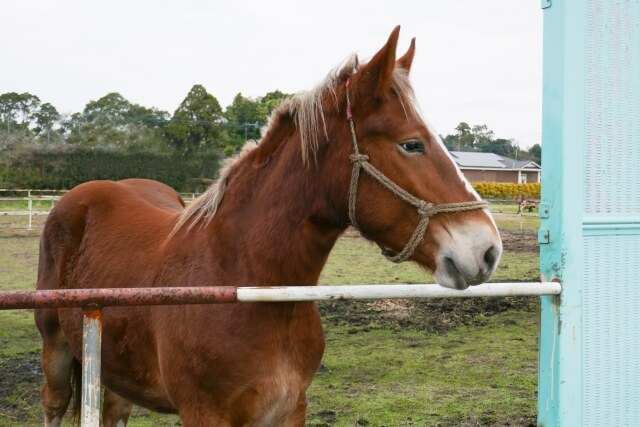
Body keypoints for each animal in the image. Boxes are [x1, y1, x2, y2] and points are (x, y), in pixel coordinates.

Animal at [35, 27, 502, 427]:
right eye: (411, 144)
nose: (488, 250)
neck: (250, 281)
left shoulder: (290, 408)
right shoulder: (204, 413)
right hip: (56, 351)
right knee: (53, 405)